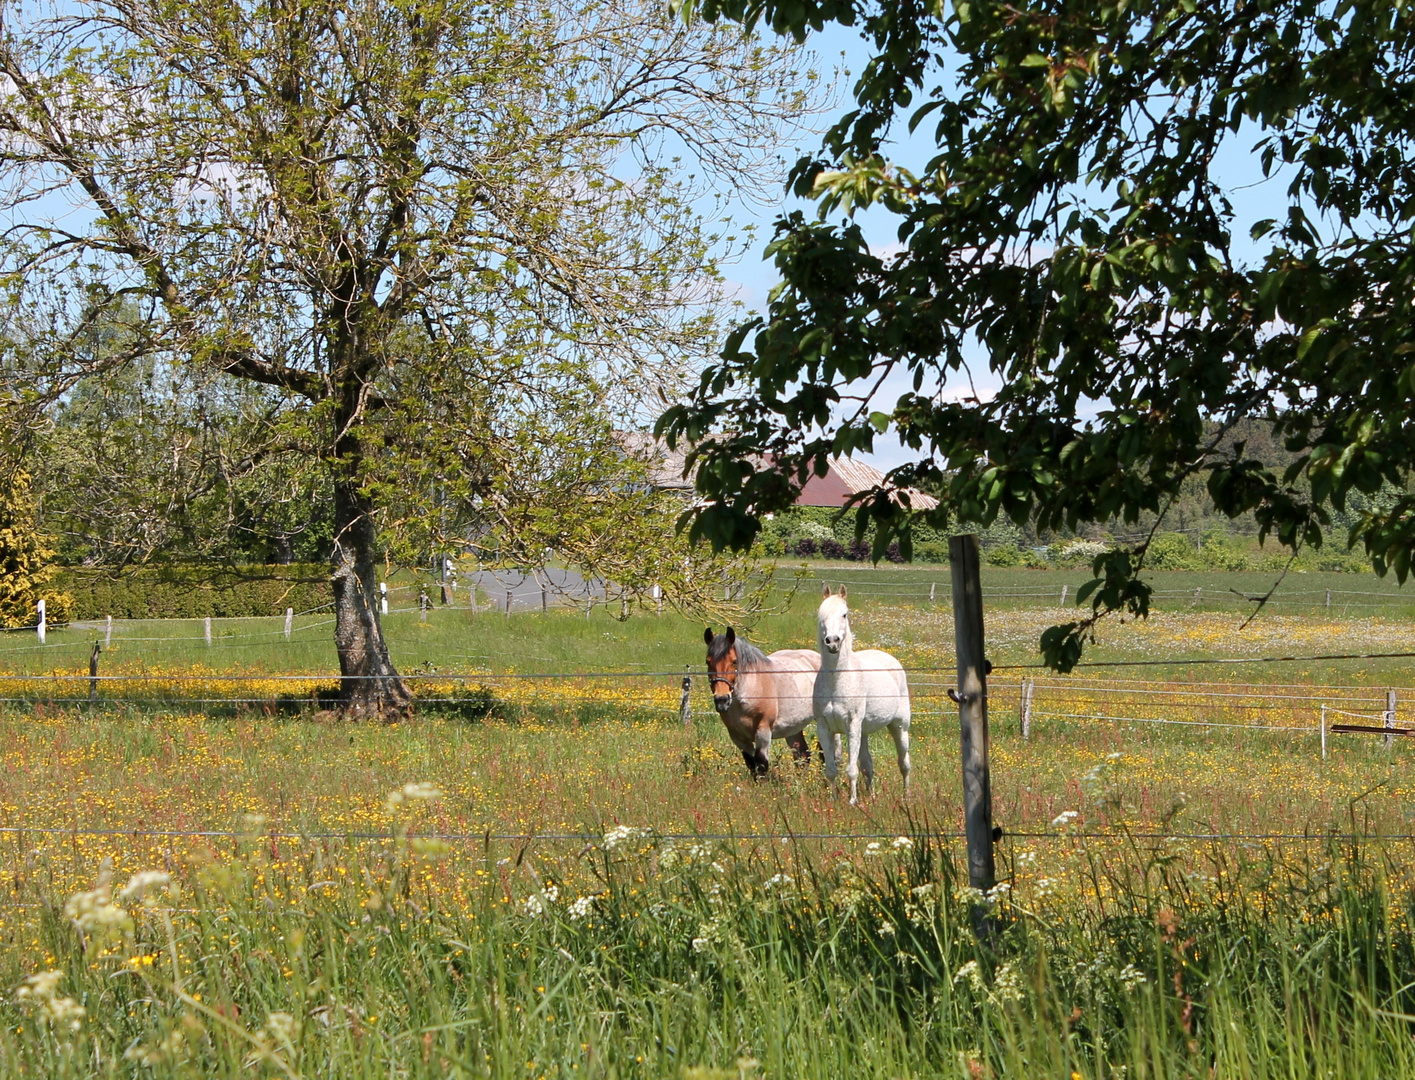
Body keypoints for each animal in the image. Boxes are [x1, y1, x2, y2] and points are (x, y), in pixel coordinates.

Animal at [704, 628, 826, 775]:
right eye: (708, 662)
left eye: (734, 661)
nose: (722, 700)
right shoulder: (738, 738)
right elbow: (752, 765)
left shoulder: (763, 732)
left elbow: (761, 766)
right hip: (793, 726)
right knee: (802, 755)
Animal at [815, 583, 911, 803]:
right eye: (821, 615)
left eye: (844, 614)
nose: (832, 641)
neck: (837, 682)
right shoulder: (824, 728)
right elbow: (831, 770)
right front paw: (833, 801)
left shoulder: (852, 725)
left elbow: (851, 770)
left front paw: (852, 801)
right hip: (865, 732)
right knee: (868, 765)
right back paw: (873, 796)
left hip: (900, 727)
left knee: (904, 763)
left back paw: (906, 796)